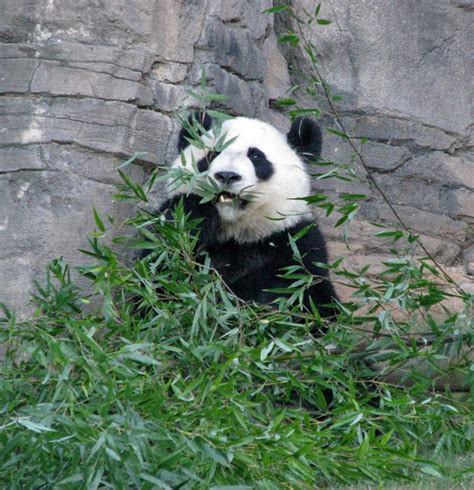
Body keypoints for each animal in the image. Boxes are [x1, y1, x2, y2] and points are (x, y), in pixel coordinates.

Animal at [157, 112, 338, 326]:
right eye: (213, 154)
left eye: (256, 156)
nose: (227, 175)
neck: (237, 231)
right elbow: (162, 274)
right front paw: (195, 216)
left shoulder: (296, 242)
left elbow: (304, 297)